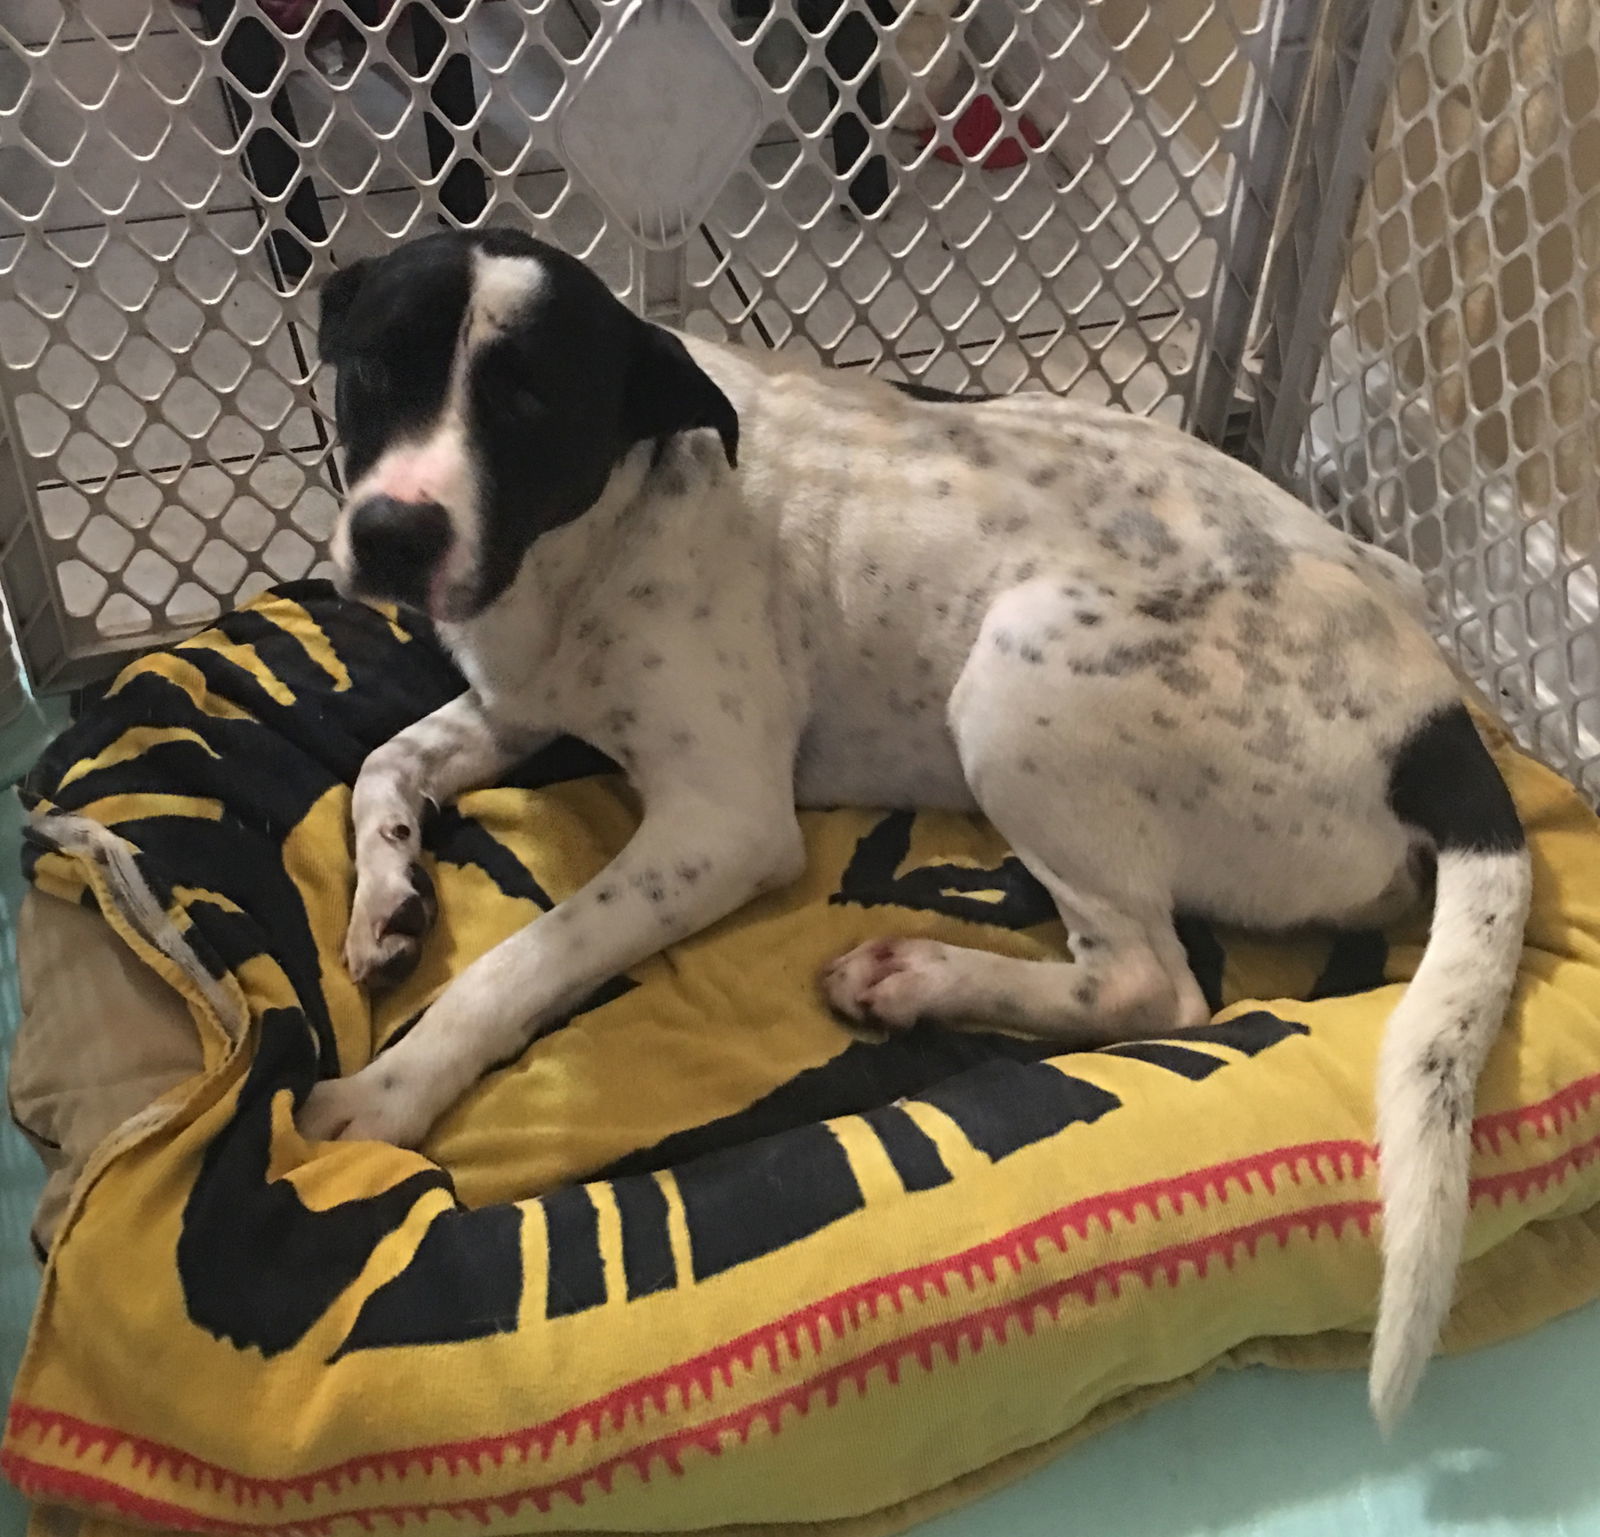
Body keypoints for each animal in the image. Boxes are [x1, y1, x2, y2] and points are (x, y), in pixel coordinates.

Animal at [302, 227, 1536, 1426]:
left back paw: (915, 976)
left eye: (530, 405)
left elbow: (518, 962)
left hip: (1016, 675)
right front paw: (388, 903)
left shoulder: (721, 822)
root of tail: (1445, 732)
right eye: (373, 370)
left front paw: (389, 1092)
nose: (393, 532)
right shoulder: (519, 705)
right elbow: (379, 763)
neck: (601, 535)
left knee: (1150, 983)